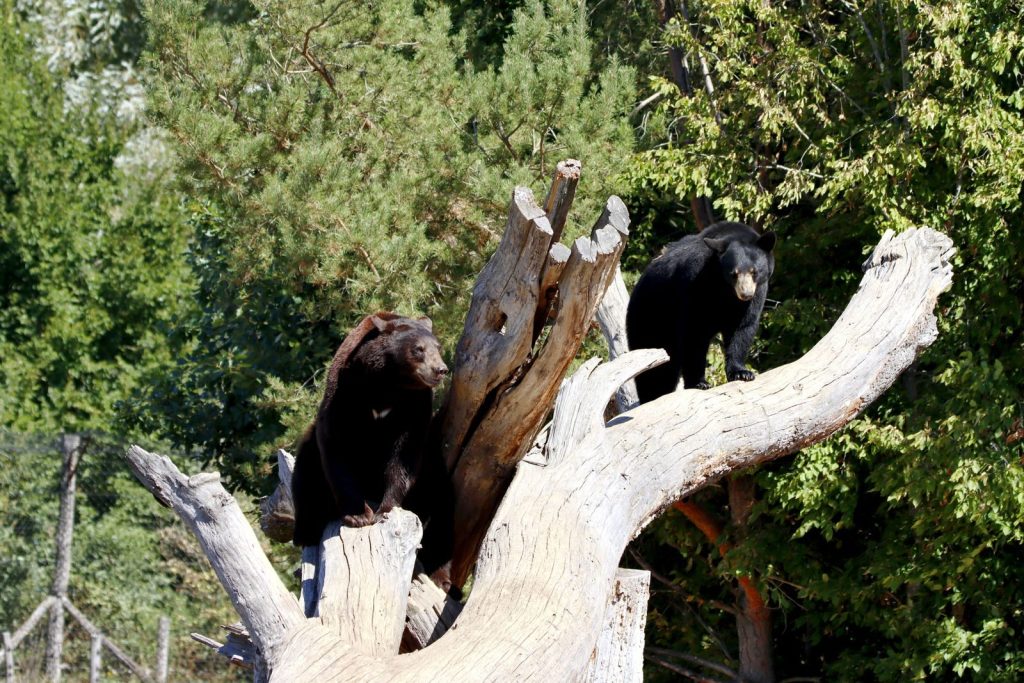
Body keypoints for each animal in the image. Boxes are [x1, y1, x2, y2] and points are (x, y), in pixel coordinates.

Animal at [290, 311, 456, 590]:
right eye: (418, 349)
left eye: (438, 347)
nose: (440, 369)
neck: (387, 385)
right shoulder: (346, 393)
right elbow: (336, 445)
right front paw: (359, 515)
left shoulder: (415, 407)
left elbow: (404, 455)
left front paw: (385, 509)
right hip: (310, 455)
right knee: (305, 472)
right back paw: (306, 529)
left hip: (433, 471)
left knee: (444, 508)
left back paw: (440, 576)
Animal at [626, 221, 776, 402]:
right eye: (733, 273)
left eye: (754, 271)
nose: (745, 294)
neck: (725, 291)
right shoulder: (697, 284)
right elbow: (694, 331)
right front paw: (698, 382)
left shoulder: (756, 294)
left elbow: (742, 328)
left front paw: (742, 372)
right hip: (650, 316)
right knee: (654, 370)